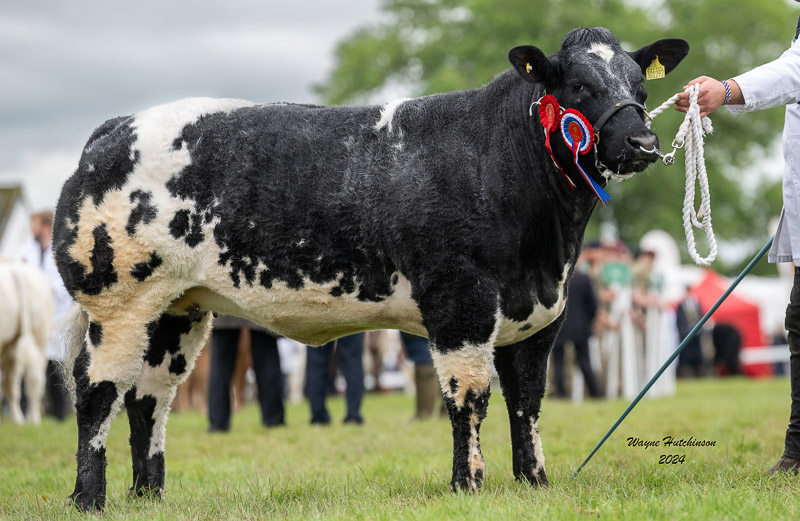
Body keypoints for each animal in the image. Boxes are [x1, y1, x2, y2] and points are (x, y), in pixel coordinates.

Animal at [53, 26, 688, 510]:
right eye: (579, 85)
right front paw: (467, 484)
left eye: (638, 84)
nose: (642, 140)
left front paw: (535, 481)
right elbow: (469, 396)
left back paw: (148, 495)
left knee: (150, 397)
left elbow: (527, 399)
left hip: (177, 310)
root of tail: (116, 127)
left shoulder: (541, 314)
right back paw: (89, 498)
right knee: (97, 391)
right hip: (120, 304)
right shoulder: (460, 302)